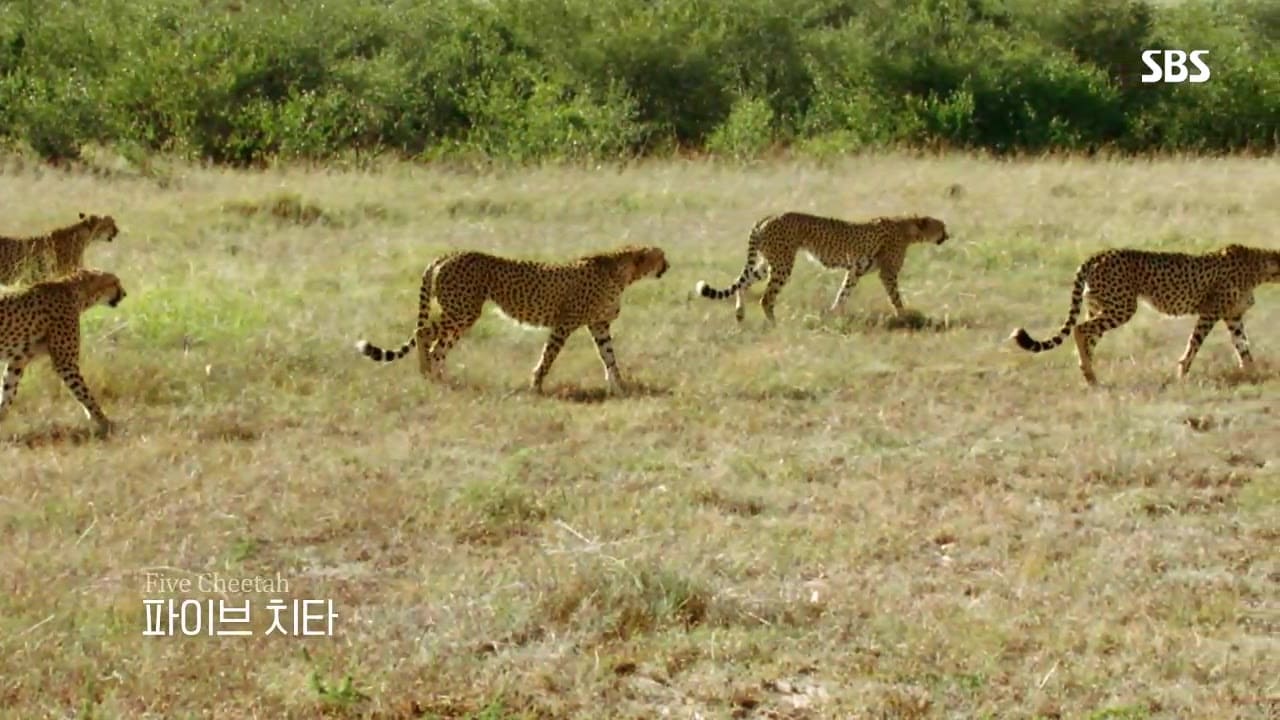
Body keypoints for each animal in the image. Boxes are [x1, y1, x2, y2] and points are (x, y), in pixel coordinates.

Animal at [1, 265, 127, 430]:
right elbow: (85, 394)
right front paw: (105, 423)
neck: (76, 292)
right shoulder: (66, 364)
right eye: (114, 282)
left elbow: (7, 391)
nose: (125, 294)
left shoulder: (17, 361)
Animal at [353, 244, 665, 392]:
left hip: (460, 314)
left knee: (438, 346)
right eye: (660, 256)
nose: (668, 265)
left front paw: (619, 387)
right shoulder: (563, 324)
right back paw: (426, 374)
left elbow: (609, 357)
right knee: (424, 334)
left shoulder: (599, 325)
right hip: (463, 311)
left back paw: (444, 379)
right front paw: (536, 385)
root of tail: (447, 255)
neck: (622, 270)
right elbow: (548, 357)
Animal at [691, 210, 952, 322]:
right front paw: (904, 316)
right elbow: (895, 297)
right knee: (766, 297)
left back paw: (740, 313)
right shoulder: (887, 273)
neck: (907, 227)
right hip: (783, 264)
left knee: (743, 283)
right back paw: (774, 324)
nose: (947, 236)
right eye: (941, 226)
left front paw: (835, 313)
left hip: (768, 262)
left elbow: (844, 292)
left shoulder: (854, 270)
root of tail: (768, 216)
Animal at [1008, 243, 1280, 384]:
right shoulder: (1210, 313)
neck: (1259, 266)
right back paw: (1089, 373)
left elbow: (1243, 347)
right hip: (1122, 307)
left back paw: (1089, 375)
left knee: (1088, 335)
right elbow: (1194, 343)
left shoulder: (1233, 317)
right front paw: (1182, 372)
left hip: (1099, 306)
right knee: (1079, 329)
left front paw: (1254, 373)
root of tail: (1100, 253)